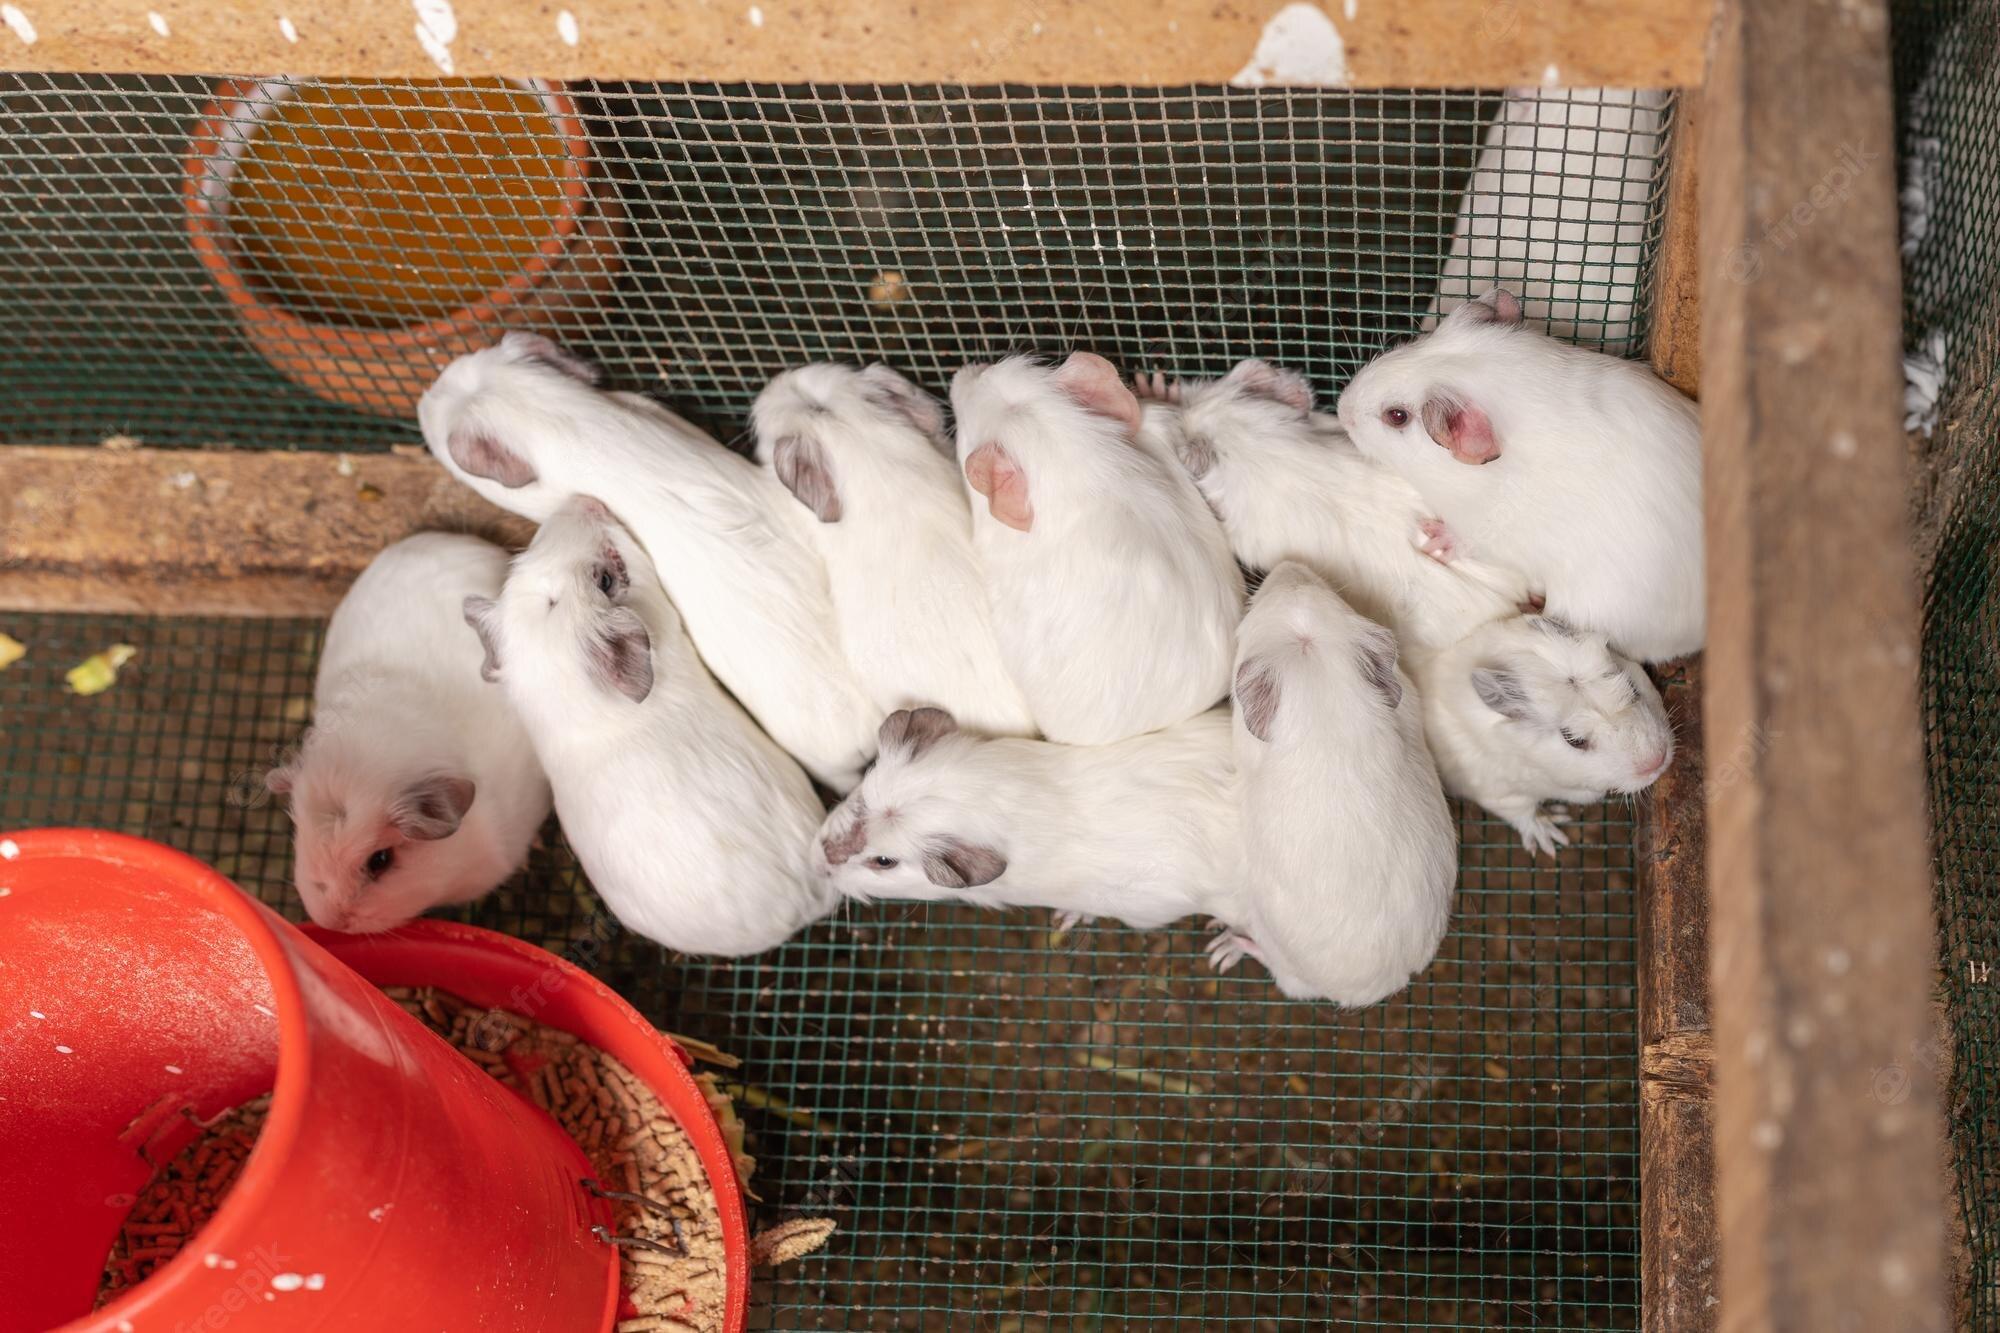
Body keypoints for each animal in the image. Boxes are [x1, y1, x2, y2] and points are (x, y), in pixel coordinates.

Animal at [1410, 613, 1674, 856]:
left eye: (1631, 687)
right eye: (1573, 740)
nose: (1657, 761)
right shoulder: (1494, 789)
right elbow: (1522, 810)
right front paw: (1554, 840)